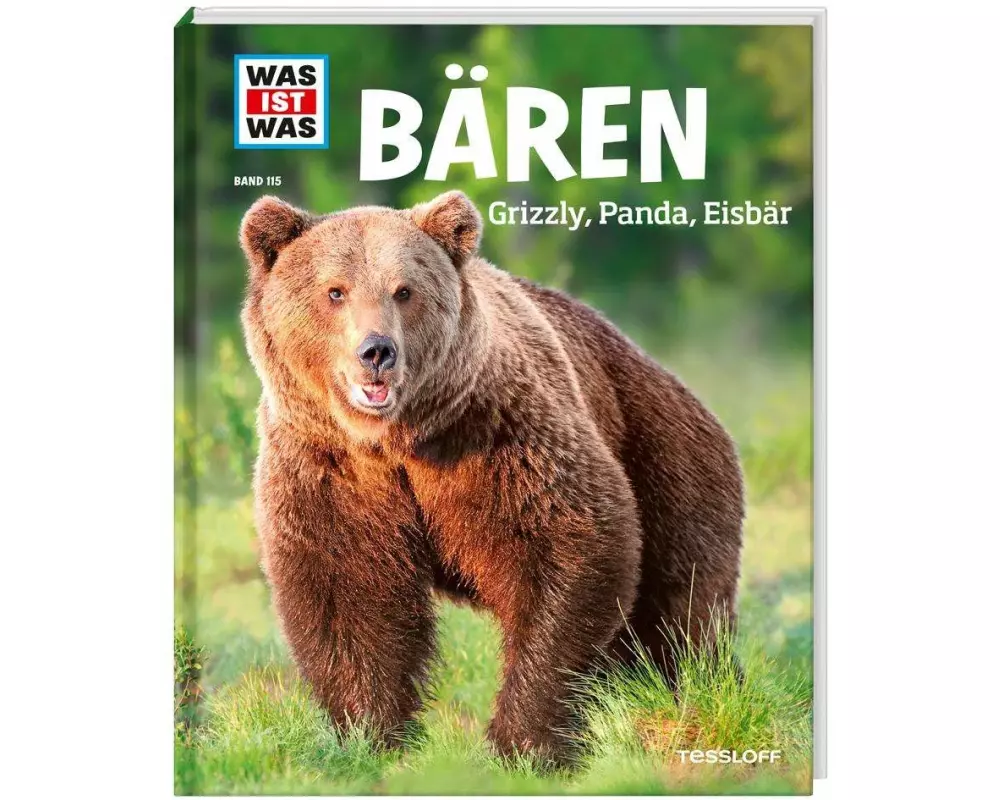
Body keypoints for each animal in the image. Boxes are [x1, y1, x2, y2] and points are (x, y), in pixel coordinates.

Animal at [239, 190, 744, 764]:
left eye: (404, 290)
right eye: (335, 291)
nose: (377, 351)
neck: (396, 440)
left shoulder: (497, 436)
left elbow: (567, 548)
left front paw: (523, 742)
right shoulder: (330, 467)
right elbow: (348, 592)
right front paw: (375, 736)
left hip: (662, 453)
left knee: (681, 609)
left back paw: (697, 691)